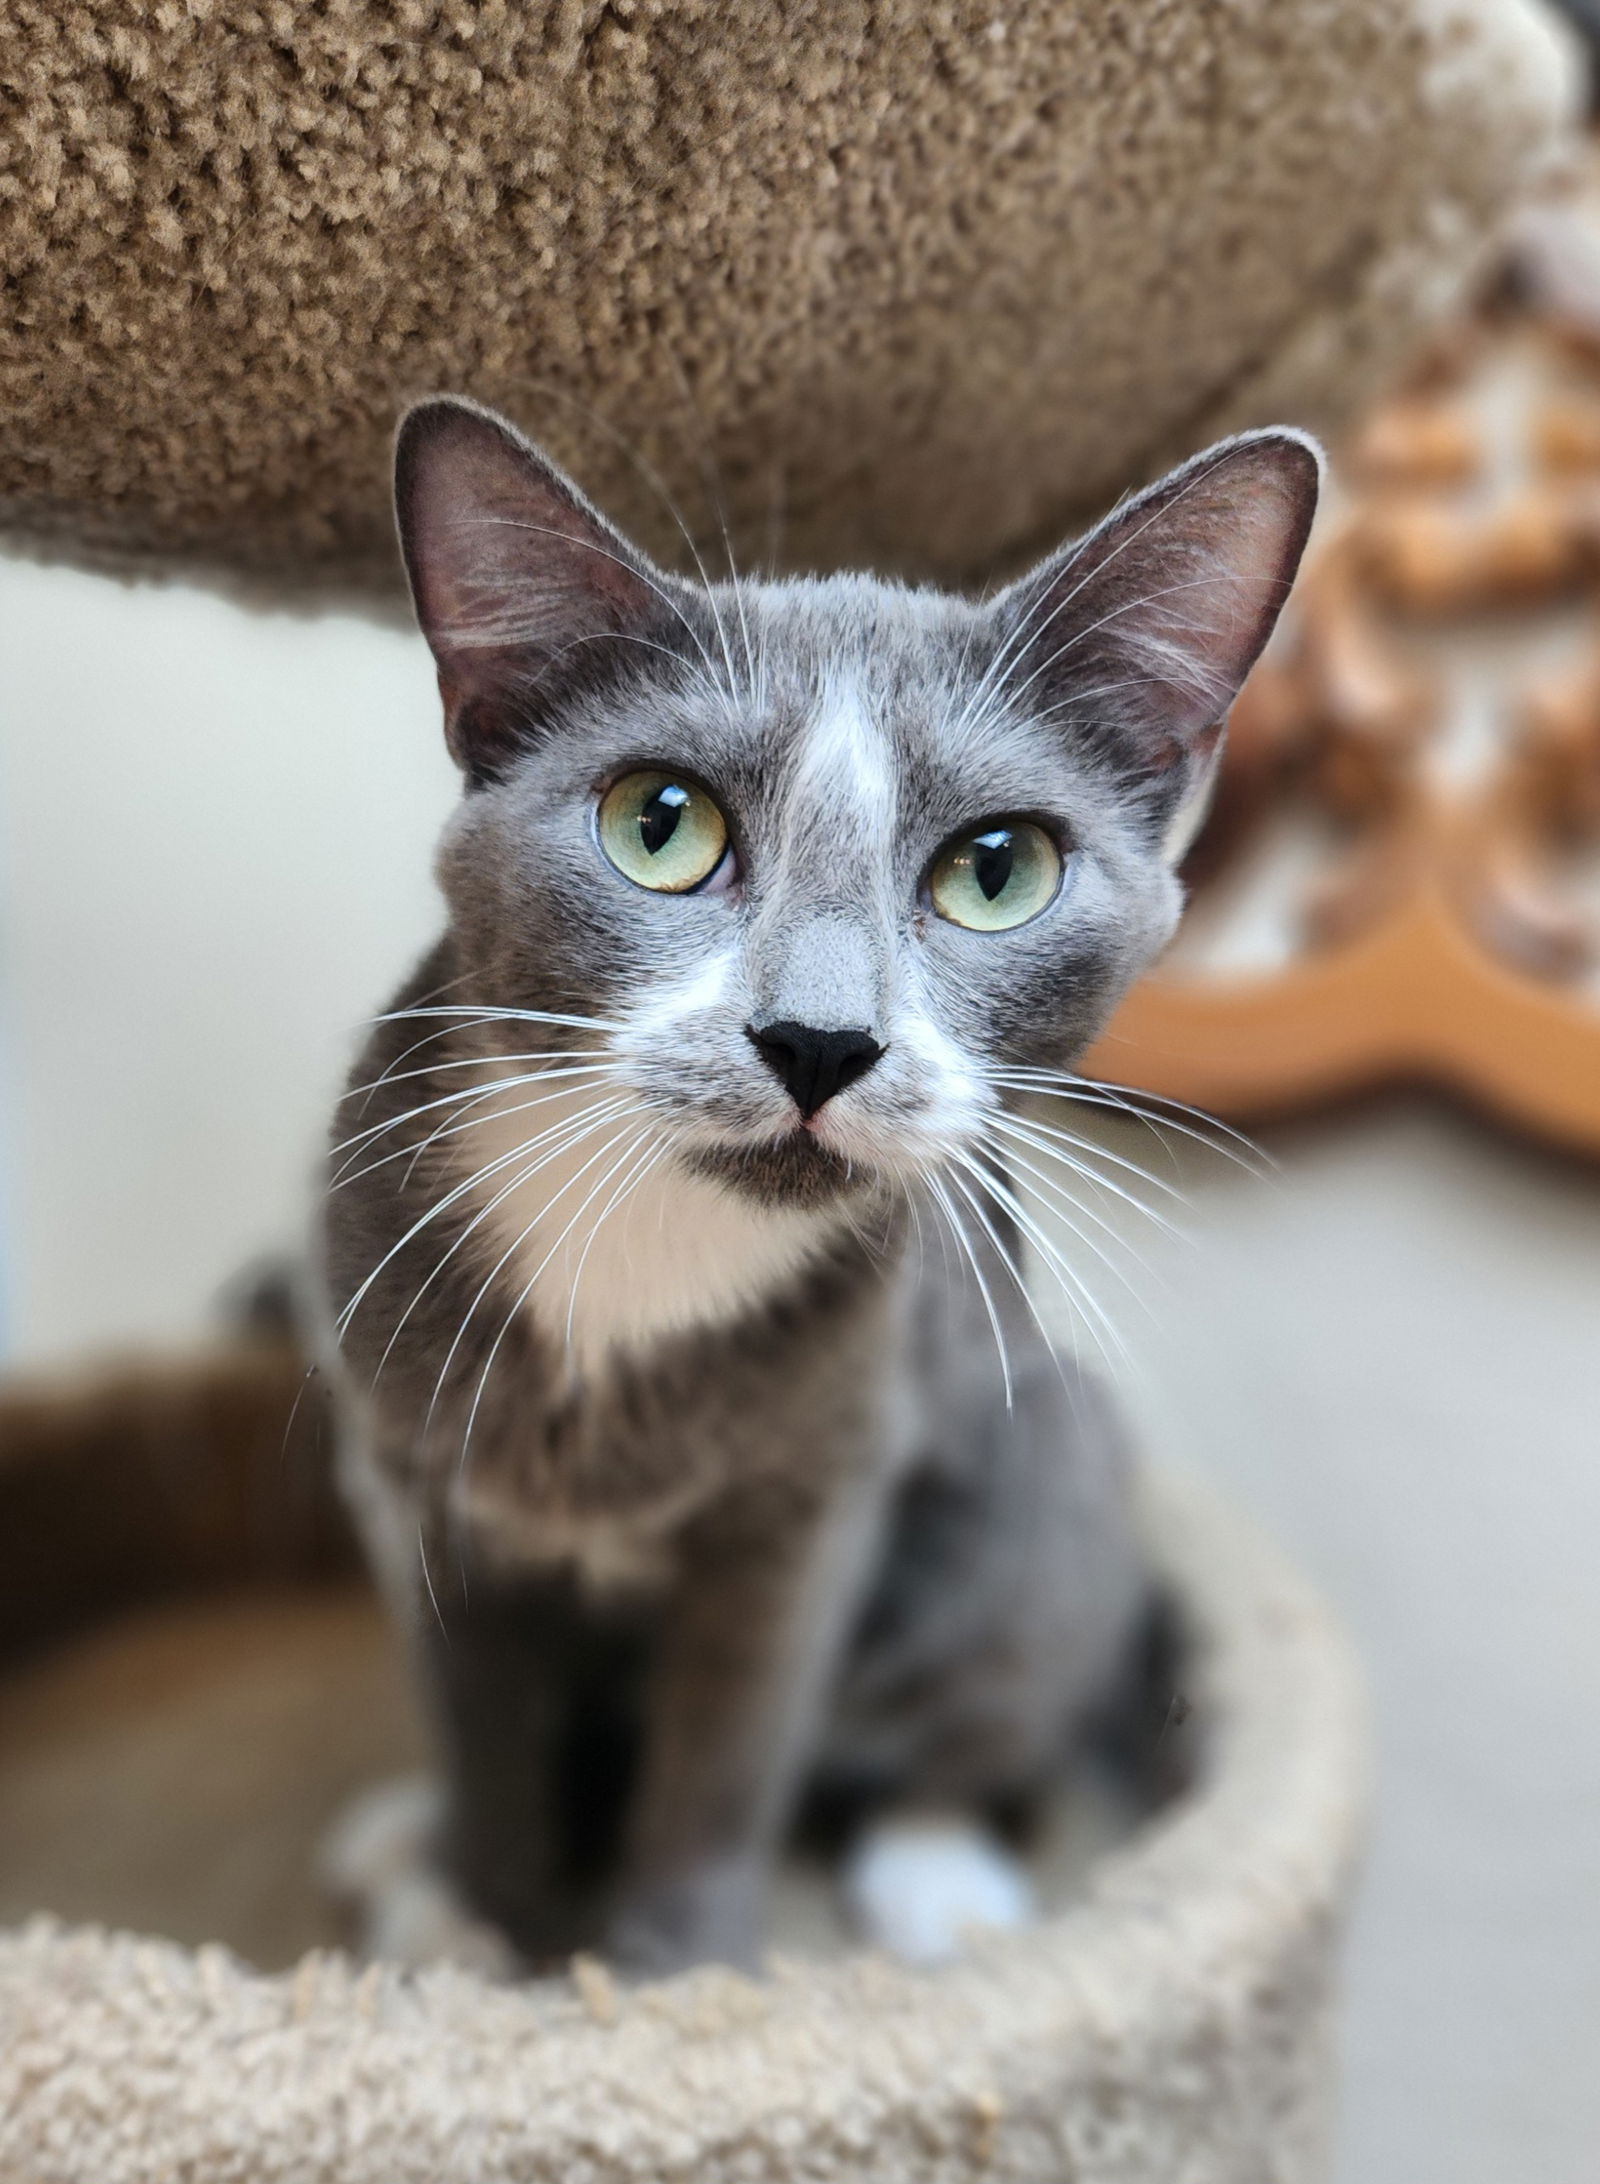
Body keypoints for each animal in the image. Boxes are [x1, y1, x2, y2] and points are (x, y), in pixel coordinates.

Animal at [318, 397, 1318, 1983]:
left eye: (997, 869)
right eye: (658, 823)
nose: (819, 1038)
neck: (654, 1249)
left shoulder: (813, 1486)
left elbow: (727, 1749)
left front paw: (672, 1976)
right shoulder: (418, 1470)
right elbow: (482, 1717)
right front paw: (483, 1920)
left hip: (1043, 1473)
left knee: (973, 1715)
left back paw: (938, 1874)